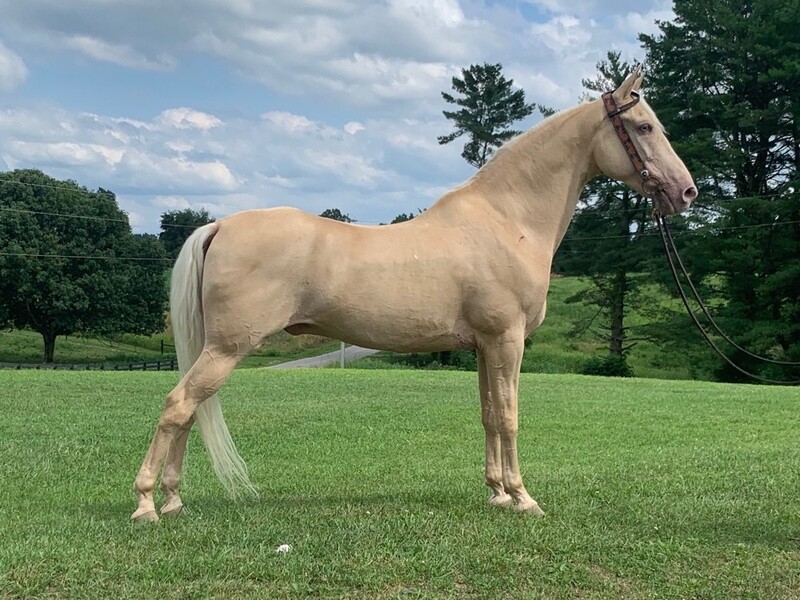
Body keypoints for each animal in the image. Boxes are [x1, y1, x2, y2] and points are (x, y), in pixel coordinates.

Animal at [132, 68, 696, 522]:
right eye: (644, 127)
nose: (687, 192)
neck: (505, 220)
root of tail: (220, 225)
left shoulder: (485, 346)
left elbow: (489, 414)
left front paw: (497, 493)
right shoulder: (507, 340)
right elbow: (510, 416)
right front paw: (523, 497)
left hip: (214, 349)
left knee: (188, 412)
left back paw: (174, 500)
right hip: (227, 349)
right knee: (178, 406)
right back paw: (147, 505)